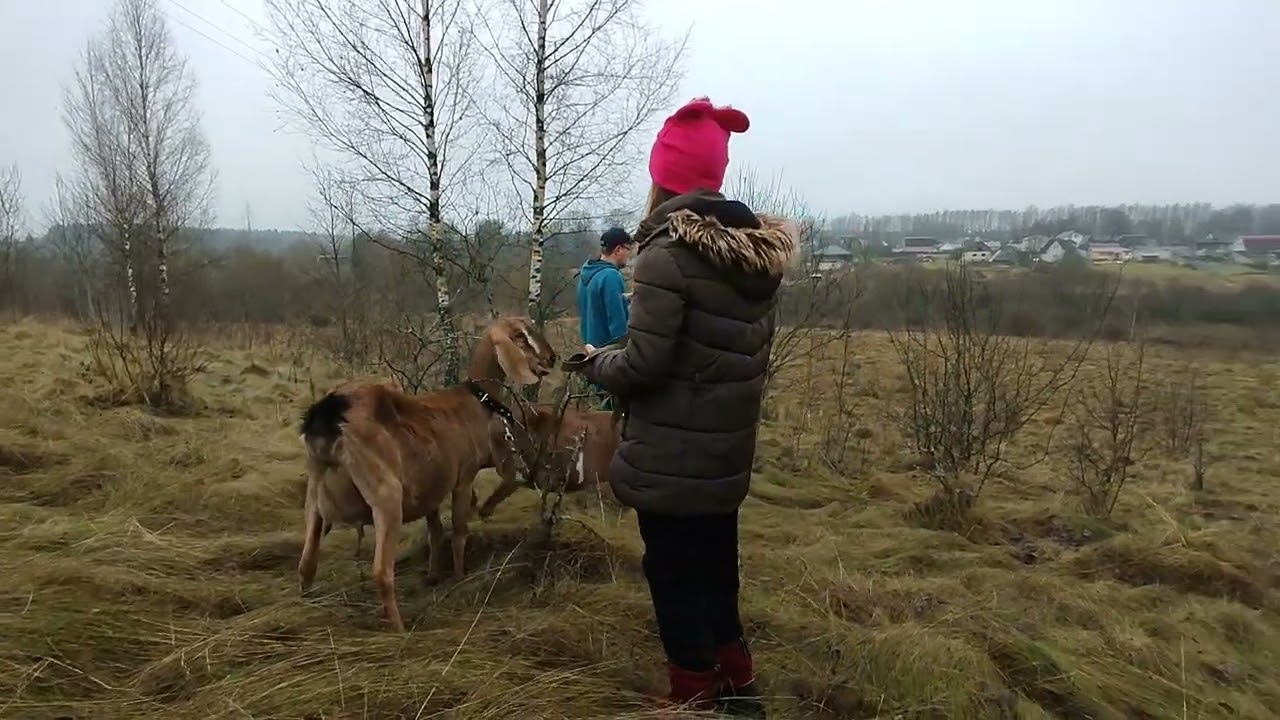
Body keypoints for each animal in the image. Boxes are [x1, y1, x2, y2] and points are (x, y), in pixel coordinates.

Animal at [297, 316, 557, 632]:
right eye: (519, 336)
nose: (551, 358)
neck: (474, 400)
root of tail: (328, 416)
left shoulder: (431, 487)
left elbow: (435, 532)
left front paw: (433, 576)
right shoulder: (462, 478)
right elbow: (459, 531)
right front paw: (459, 577)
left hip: (314, 493)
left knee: (306, 562)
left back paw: (306, 604)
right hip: (386, 497)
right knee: (381, 572)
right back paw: (399, 628)